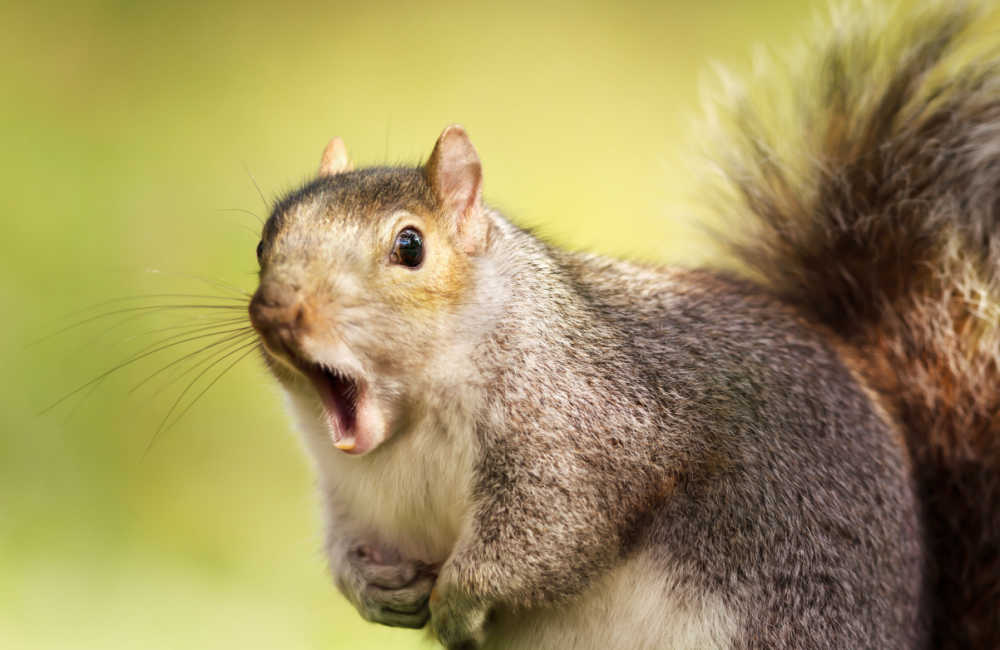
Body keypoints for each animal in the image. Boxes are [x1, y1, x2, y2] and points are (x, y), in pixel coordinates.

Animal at [246, 2, 1000, 644]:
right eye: (264, 240)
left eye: (410, 247)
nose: (277, 309)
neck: (409, 425)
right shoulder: (351, 493)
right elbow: (347, 544)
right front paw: (369, 586)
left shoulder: (586, 429)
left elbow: (550, 534)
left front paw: (458, 601)